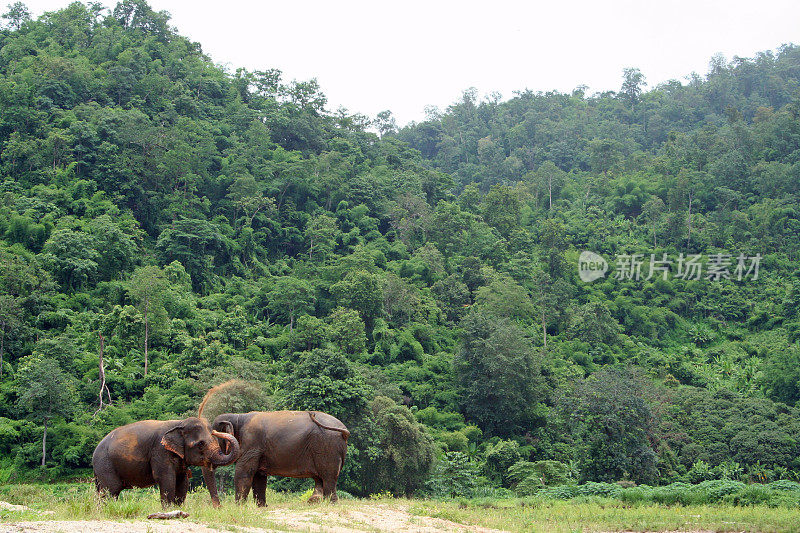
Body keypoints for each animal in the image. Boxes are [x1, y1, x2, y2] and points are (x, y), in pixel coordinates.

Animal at [92, 416, 238, 508]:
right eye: (200, 444)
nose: (219, 508)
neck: (180, 423)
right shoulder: (160, 451)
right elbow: (166, 478)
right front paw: (168, 510)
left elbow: (182, 481)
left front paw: (178, 509)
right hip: (105, 464)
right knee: (111, 490)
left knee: (102, 491)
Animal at [202, 410, 348, 504]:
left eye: (213, 438)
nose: (219, 507)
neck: (238, 417)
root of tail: (344, 430)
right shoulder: (257, 448)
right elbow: (259, 476)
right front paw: (261, 507)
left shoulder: (252, 443)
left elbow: (243, 472)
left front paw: (238, 507)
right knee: (321, 478)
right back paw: (314, 501)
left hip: (327, 447)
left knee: (328, 477)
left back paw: (329, 504)